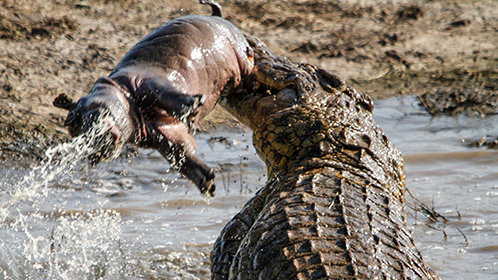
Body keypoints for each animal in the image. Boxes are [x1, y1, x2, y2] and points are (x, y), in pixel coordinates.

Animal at [55, 2, 253, 196]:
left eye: (73, 118)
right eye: (71, 127)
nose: (90, 153)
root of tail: (216, 16)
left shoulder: (146, 81)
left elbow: (165, 94)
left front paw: (194, 106)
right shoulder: (161, 133)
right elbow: (181, 153)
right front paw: (207, 183)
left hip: (238, 52)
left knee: (246, 67)